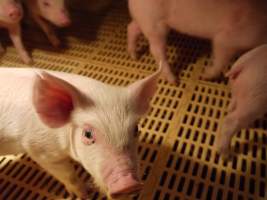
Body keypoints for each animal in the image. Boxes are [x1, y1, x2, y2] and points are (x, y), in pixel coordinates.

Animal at [0, 66, 161, 198]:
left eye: (136, 129)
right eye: (87, 134)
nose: (129, 184)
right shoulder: (40, 150)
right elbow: (68, 174)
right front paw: (85, 194)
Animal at [127, 0, 267, 83]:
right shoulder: (228, 38)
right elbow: (220, 58)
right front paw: (206, 75)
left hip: (144, 19)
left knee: (131, 28)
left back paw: (134, 56)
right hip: (155, 23)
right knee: (156, 50)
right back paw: (174, 81)